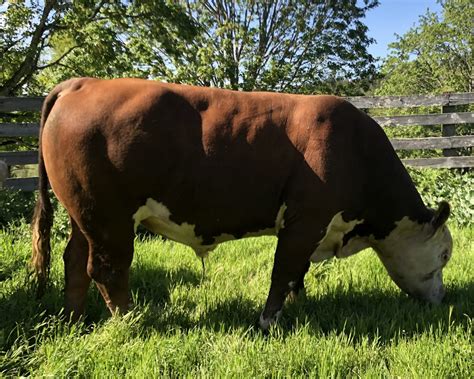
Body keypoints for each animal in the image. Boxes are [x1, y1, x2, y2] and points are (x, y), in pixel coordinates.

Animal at [31, 78, 454, 332]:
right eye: (445, 255)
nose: (442, 301)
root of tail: (81, 83)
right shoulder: (305, 221)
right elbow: (283, 271)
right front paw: (269, 322)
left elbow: (296, 273)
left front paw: (297, 305)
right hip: (109, 218)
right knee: (107, 270)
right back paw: (134, 322)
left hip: (85, 214)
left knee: (75, 262)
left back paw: (73, 320)